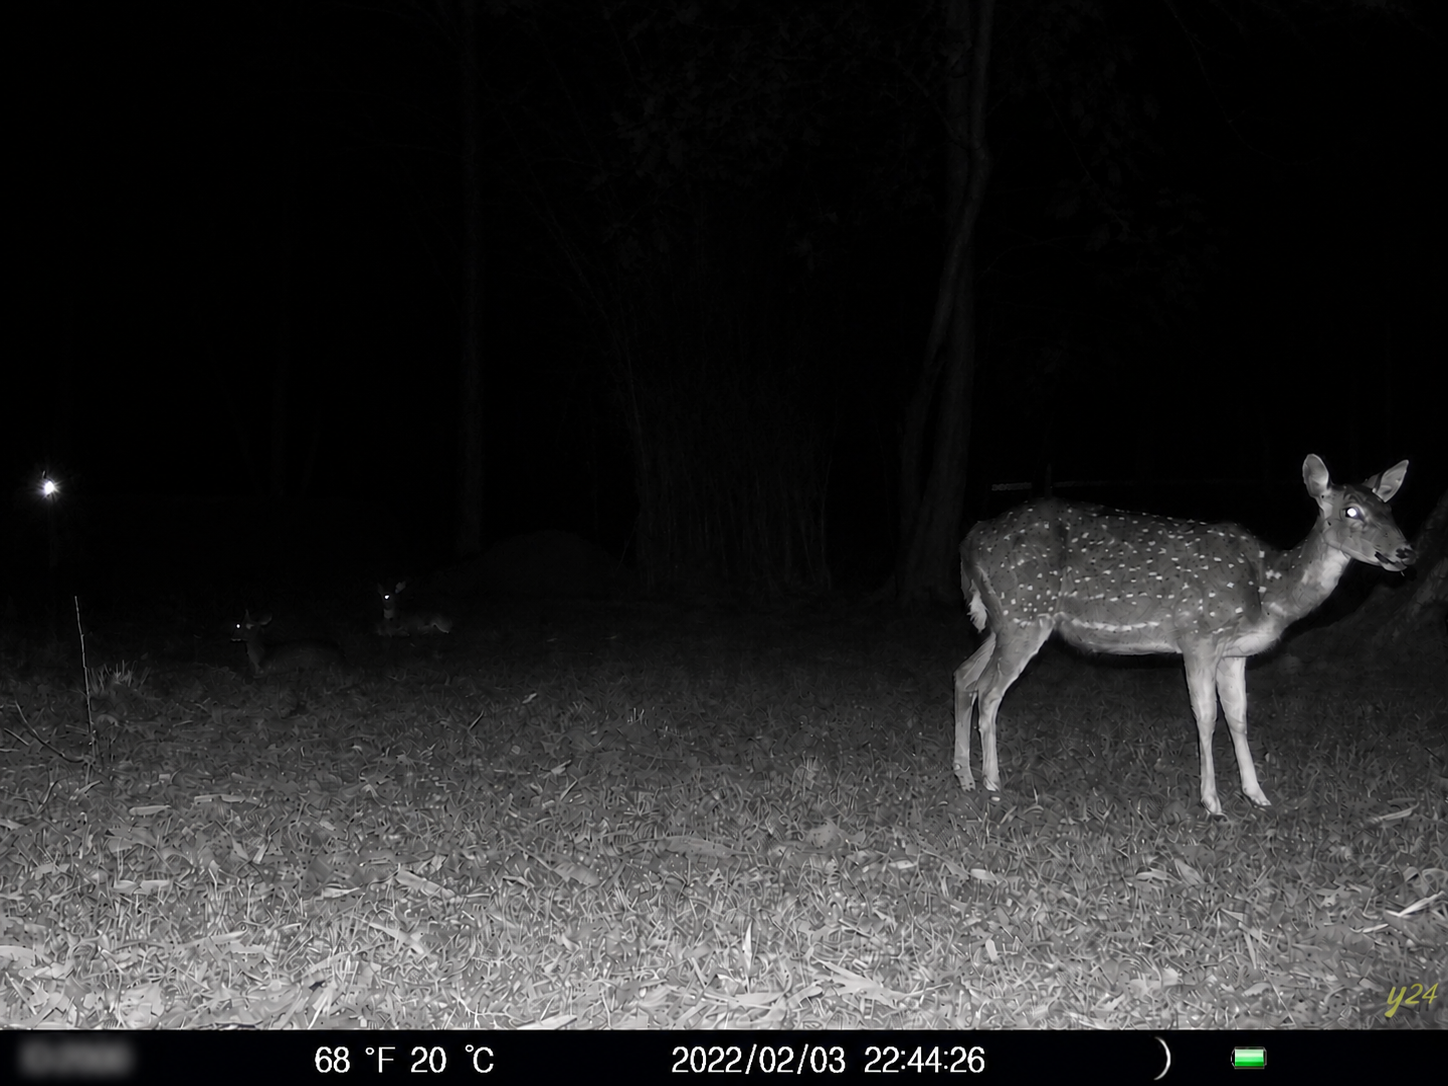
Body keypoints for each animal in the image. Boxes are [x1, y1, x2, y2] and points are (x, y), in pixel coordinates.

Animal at [954, 454, 1413, 816]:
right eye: (1351, 511)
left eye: (1388, 508)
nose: (1405, 551)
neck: (1267, 590)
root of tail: (969, 541)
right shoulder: (1199, 635)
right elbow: (1206, 716)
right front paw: (1212, 801)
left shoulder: (1235, 652)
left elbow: (1239, 717)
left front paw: (1257, 794)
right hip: (1024, 612)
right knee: (990, 690)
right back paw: (993, 781)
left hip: (1003, 620)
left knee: (965, 676)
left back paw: (964, 776)